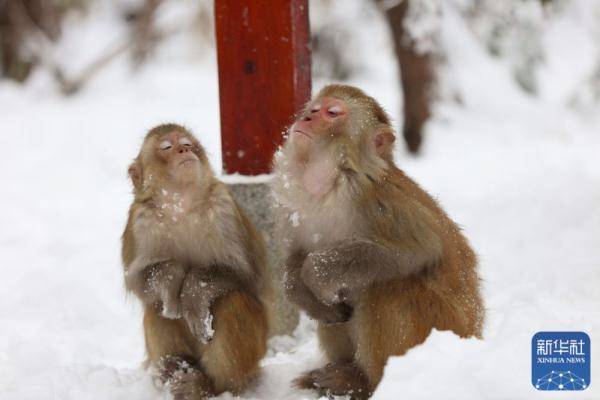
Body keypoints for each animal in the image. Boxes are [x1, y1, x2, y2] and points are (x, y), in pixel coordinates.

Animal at [120, 123, 268, 398]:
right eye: (167, 147)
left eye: (187, 143)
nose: (184, 150)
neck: (180, 205)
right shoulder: (139, 222)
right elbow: (138, 282)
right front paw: (173, 275)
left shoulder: (224, 209)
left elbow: (248, 273)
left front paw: (192, 291)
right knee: (157, 306)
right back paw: (176, 369)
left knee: (232, 300)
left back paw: (211, 385)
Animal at [270, 83, 482, 396]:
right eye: (313, 109)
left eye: (332, 113)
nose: (306, 118)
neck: (332, 183)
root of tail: (474, 334)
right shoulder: (293, 206)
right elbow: (296, 257)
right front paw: (302, 292)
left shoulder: (378, 202)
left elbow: (421, 250)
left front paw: (317, 272)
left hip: (442, 323)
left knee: (389, 287)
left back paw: (366, 382)